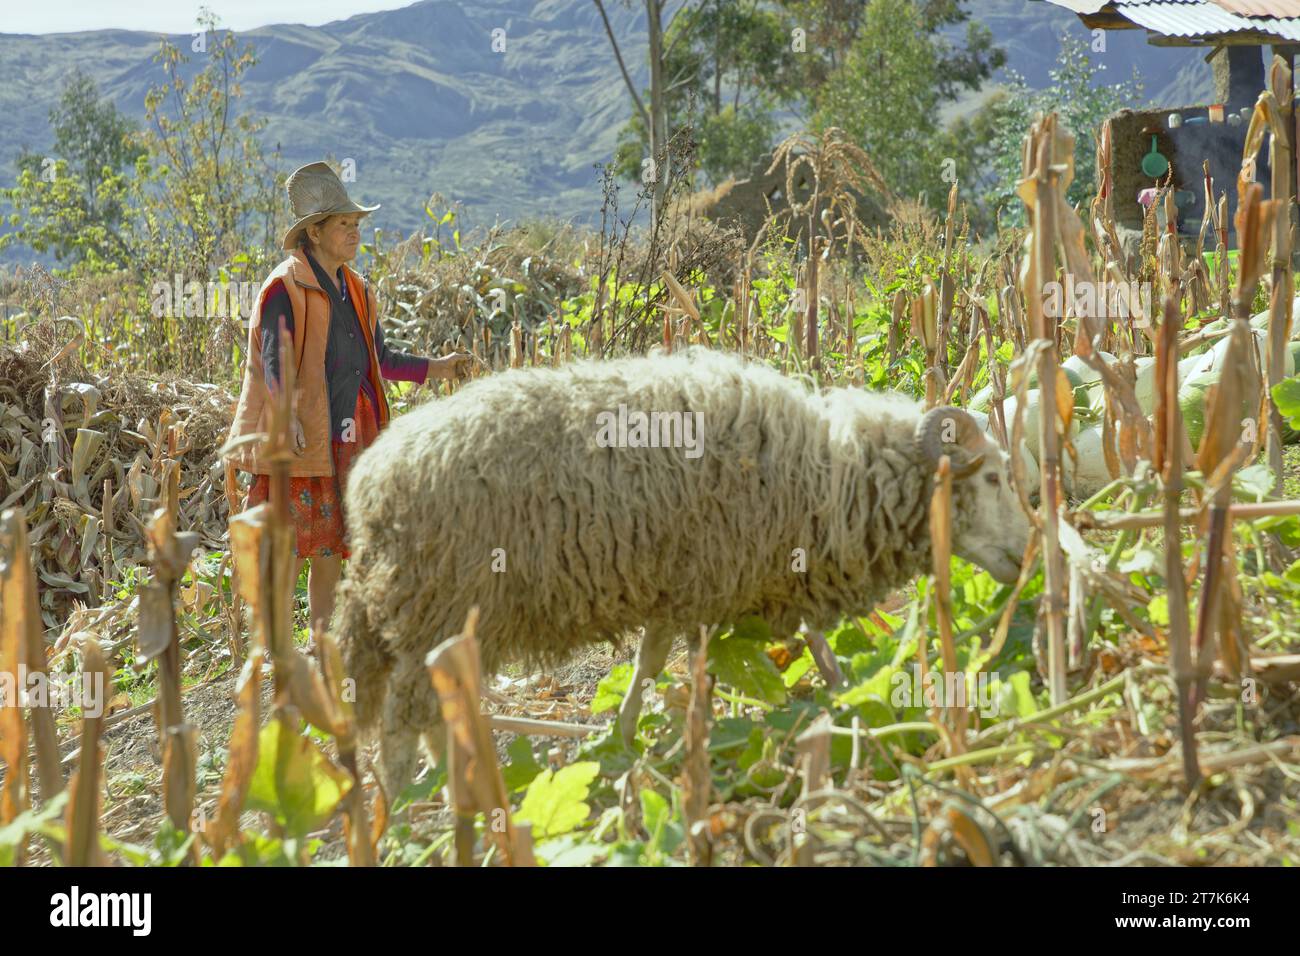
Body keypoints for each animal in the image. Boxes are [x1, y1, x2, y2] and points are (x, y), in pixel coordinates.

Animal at [335, 348, 1034, 796]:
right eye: (992, 479)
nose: (1027, 554)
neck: (827, 477)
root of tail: (369, 484)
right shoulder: (710, 577)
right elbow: (687, 666)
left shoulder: (698, 583)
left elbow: (658, 662)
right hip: (434, 609)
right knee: (400, 725)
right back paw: (403, 808)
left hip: (443, 625)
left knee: (434, 712)